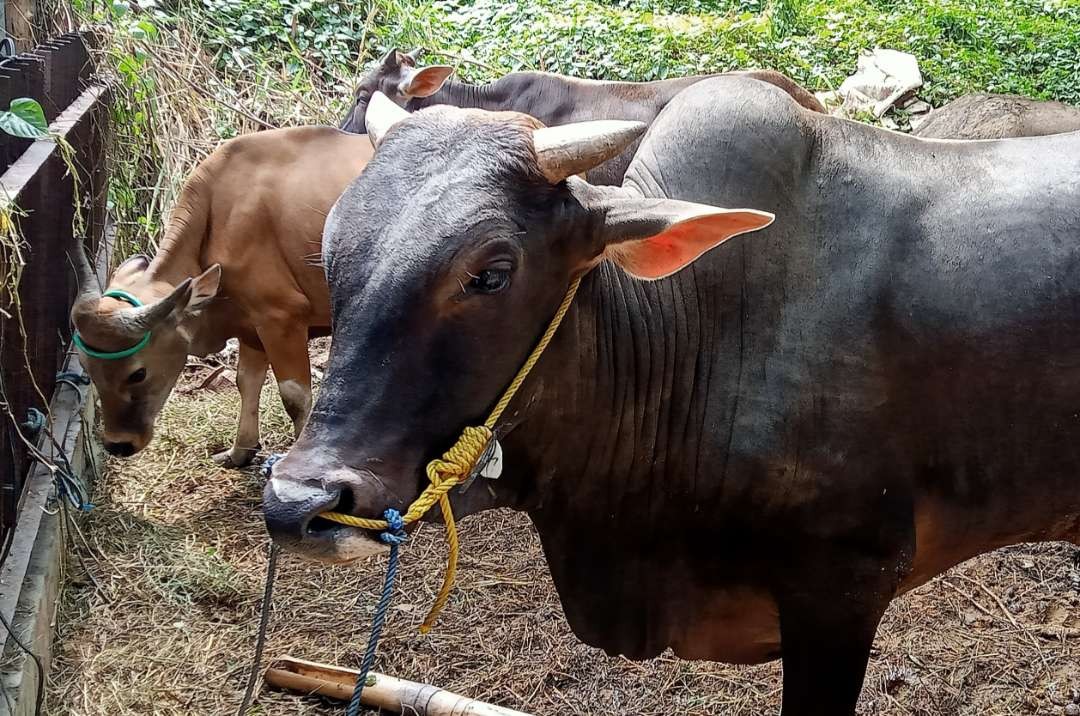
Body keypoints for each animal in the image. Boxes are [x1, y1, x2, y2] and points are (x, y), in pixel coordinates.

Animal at [69, 126, 371, 468]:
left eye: (138, 373)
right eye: (88, 368)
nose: (118, 445)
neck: (221, 216)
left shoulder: (281, 319)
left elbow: (294, 396)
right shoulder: (252, 326)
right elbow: (246, 382)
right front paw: (241, 451)